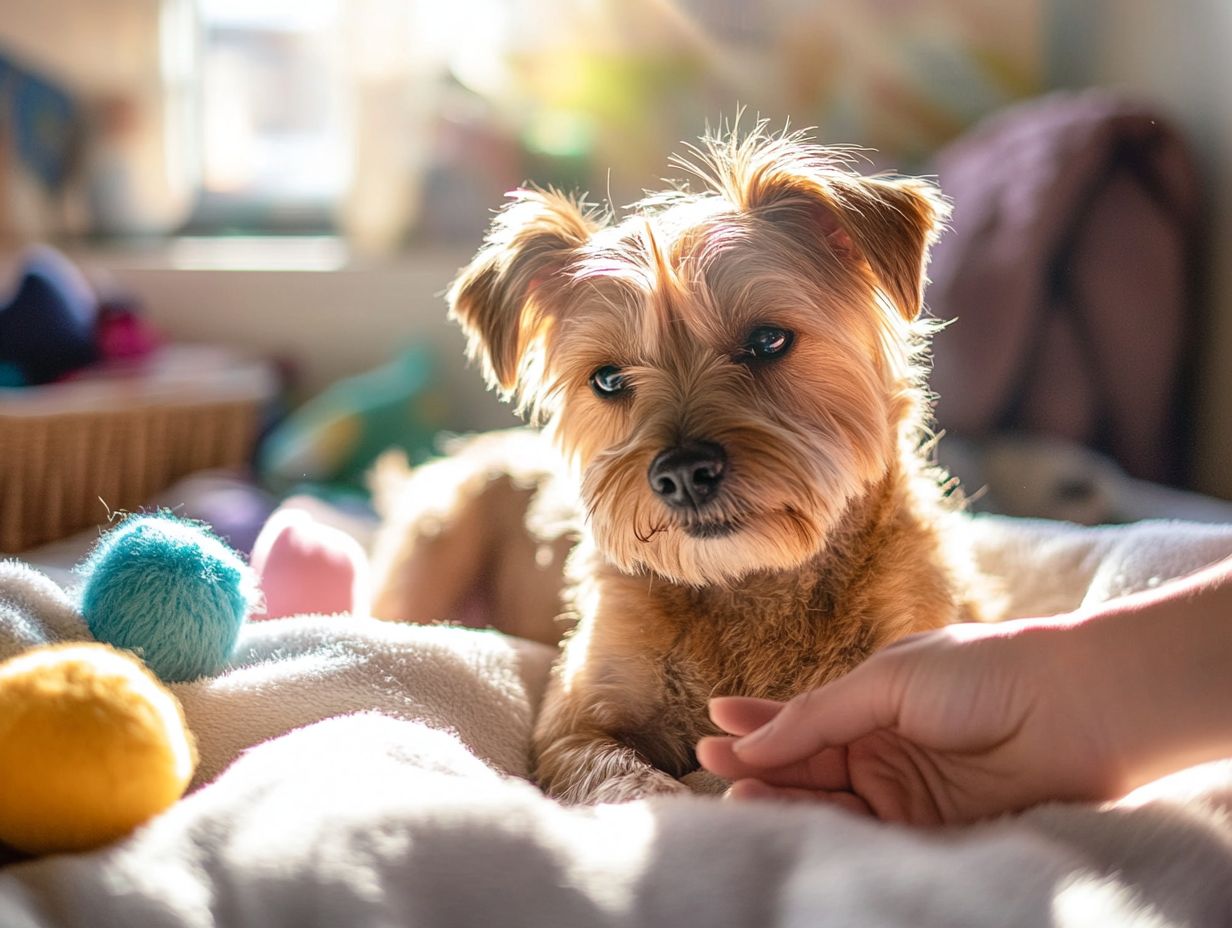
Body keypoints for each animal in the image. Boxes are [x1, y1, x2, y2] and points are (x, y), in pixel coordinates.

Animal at [364, 125, 980, 803]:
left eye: (768, 340)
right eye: (608, 379)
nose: (683, 474)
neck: (749, 587)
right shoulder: (574, 725)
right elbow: (632, 781)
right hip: (434, 547)